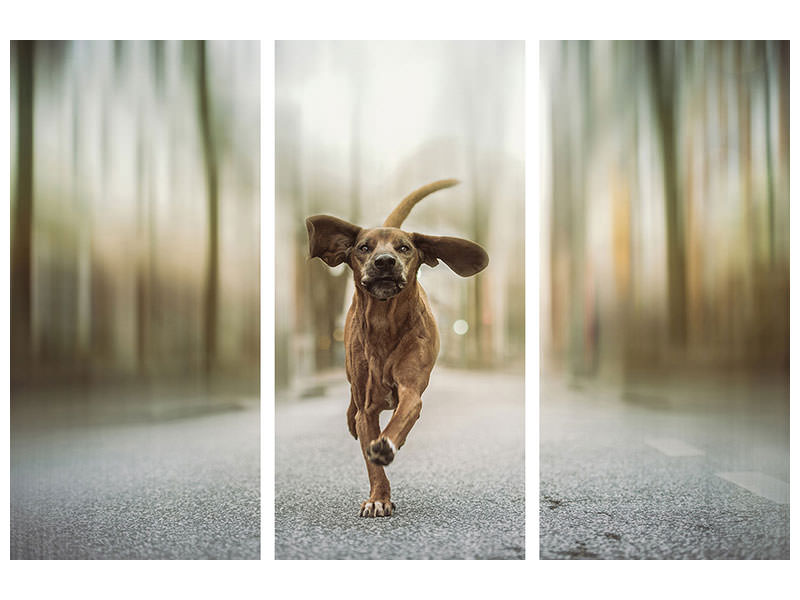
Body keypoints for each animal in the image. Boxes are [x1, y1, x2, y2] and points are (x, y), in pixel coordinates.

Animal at [304, 178, 488, 516]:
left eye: (404, 248)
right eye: (364, 247)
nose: (385, 261)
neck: (384, 326)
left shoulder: (411, 389)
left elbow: (401, 418)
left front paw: (387, 445)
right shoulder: (367, 408)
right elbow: (371, 458)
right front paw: (379, 497)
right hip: (352, 379)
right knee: (351, 406)